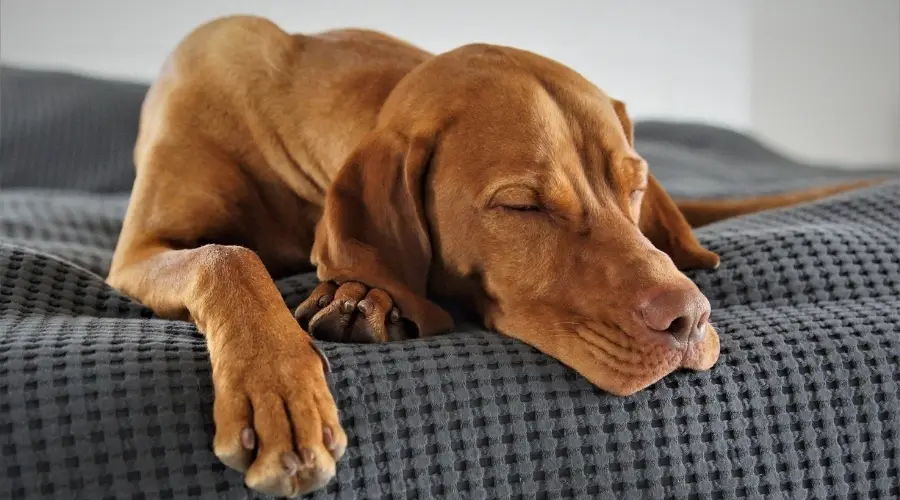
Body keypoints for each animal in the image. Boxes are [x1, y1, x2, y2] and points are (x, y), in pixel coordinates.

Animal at [107, 14, 880, 496]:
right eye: (522, 206)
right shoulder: (138, 251)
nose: (690, 320)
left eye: (632, 185)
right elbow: (227, 256)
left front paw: (360, 295)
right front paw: (278, 392)